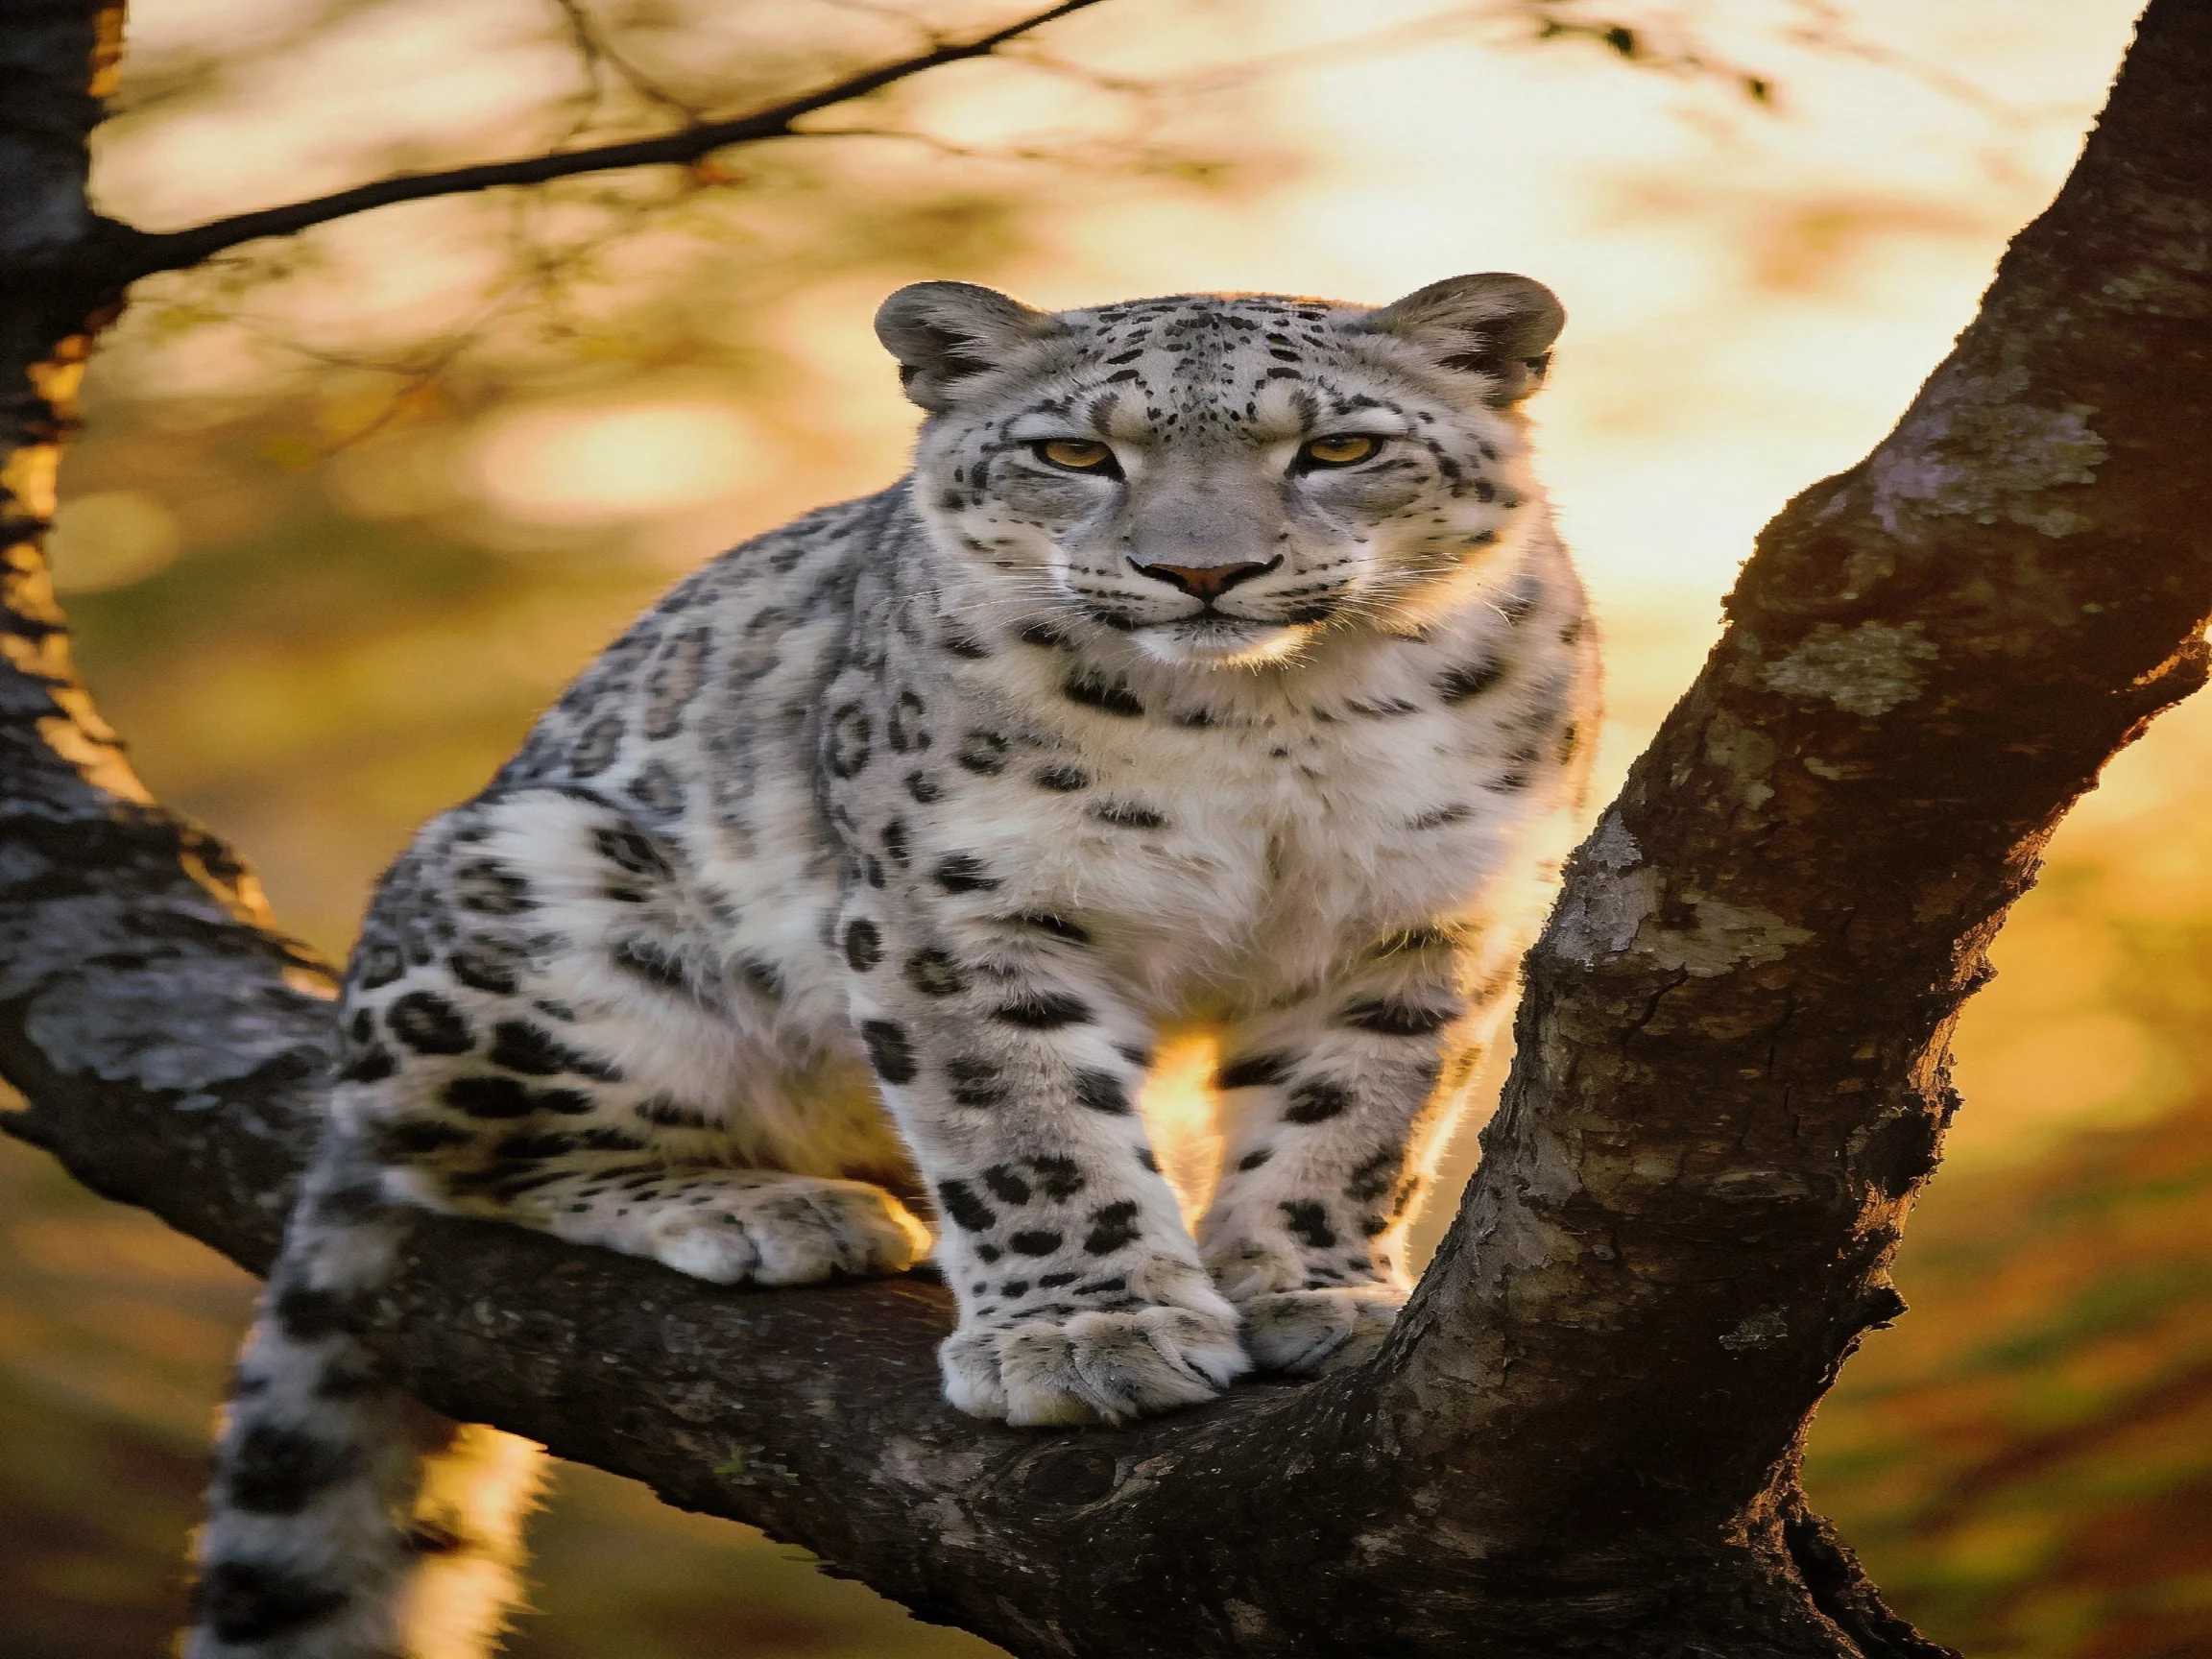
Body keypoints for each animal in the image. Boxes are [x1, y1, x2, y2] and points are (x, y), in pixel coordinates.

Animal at [186, 272, 1599, 1659]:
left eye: (1339, 449)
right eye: (1074, 453)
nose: (1202, 570)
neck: (1269, 721)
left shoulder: (1420, 921)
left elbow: (1353, 1124)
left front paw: (1316, 1295)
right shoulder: (964, 908)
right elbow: (1026, 1129)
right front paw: (1084, 1340)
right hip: (544, 888)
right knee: (448, 1157)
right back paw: (773, 1211)